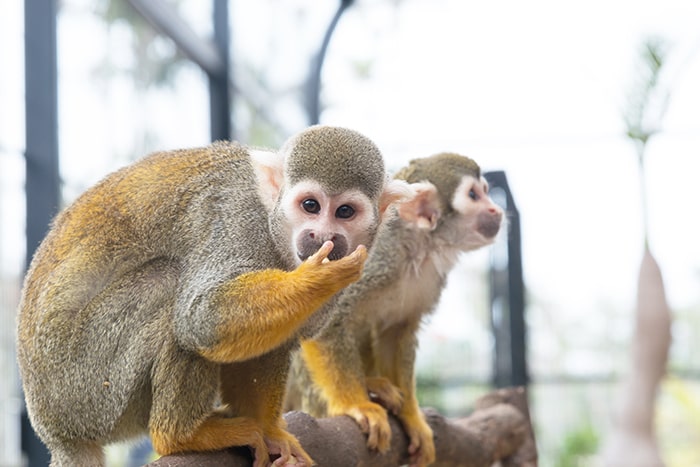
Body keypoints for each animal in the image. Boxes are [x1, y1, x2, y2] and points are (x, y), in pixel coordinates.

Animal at [15, 125, 410, 467]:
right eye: (310, 206)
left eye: (345, 212)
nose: (321, 236)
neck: (274, 228)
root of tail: (54, 431)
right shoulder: (237, 220)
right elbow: (201, 319)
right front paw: (318, 278)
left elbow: (270, 346)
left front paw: (271, 432)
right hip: (83, 386)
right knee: (170, 287)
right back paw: (180, 437)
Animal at [284, 152, 504, 466]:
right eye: (474, 195)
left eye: (485, 191)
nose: (496, 209)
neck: (411, 247)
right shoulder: (369, 258)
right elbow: (323, 317)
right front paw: (356, 405)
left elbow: (397, 331)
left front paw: (412, 416)